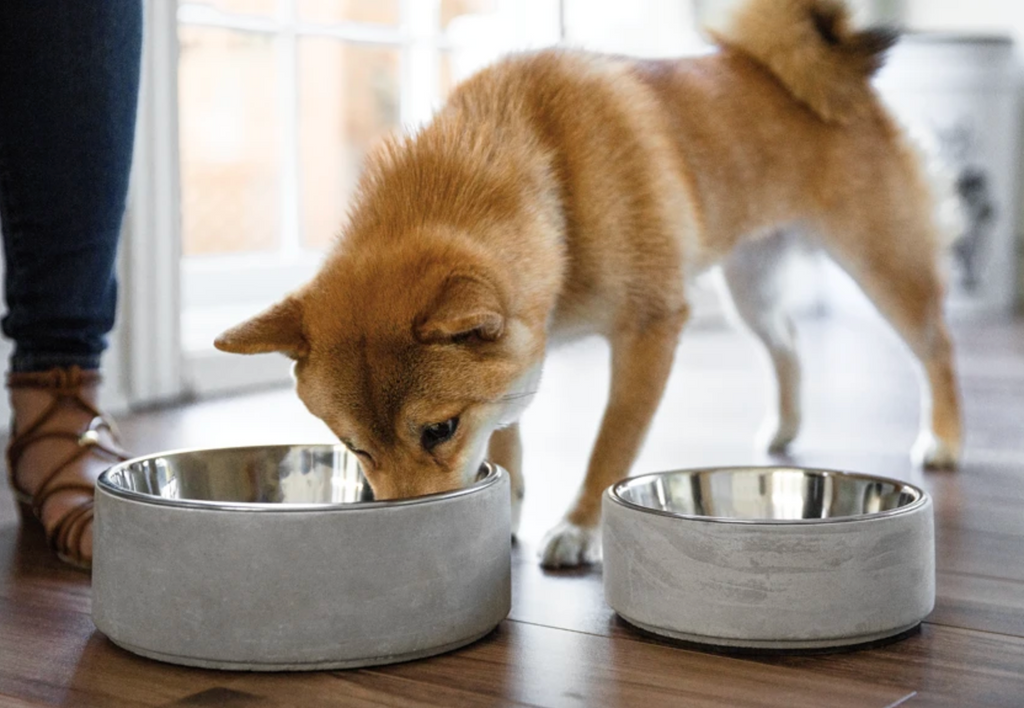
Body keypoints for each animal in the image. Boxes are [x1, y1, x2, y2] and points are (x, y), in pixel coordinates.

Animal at [216, 0, 958, 569]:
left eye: (439, 429)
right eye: (355, 449)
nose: (404, 533)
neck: (548, 170)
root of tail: (836, 75)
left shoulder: (651, 327)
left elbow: (612, 441)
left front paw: (579, 526)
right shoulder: (520, 352)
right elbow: (507, 434)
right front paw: (508, 503)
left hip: (882, 265)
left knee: (936, 345)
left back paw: (945, 437)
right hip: (751, 288)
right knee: (789, 343)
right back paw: (785, 426)